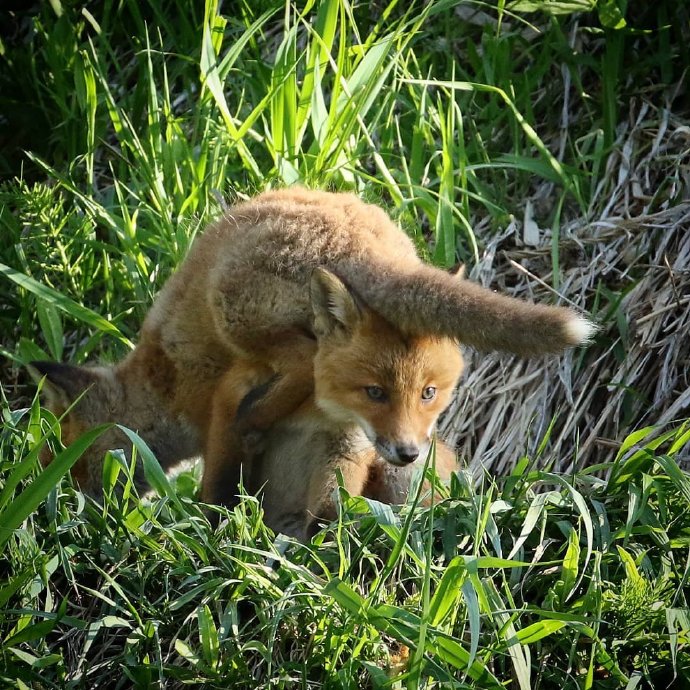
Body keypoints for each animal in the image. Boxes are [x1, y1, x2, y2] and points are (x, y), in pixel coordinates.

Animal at [29, 185, 592, 528]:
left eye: (69, 453)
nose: (60, 511)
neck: (161, 380)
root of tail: (363, 245)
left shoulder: (215, 404)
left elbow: (218, 480)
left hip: (242, 318)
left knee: (302, 362)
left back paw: (258, 417)